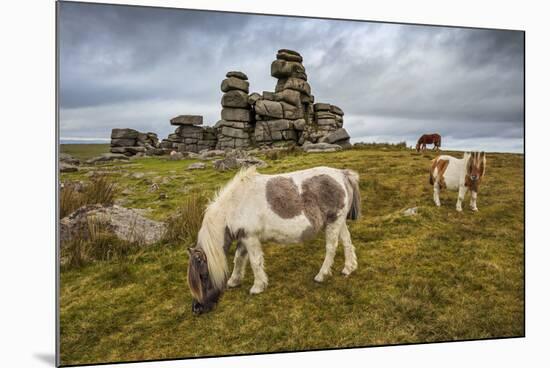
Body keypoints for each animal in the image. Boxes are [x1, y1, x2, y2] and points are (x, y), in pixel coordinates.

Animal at [188, 167, 364, 314]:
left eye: (203, 276)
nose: (197, 309)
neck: (235, 204)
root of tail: (342, 174)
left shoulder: (250, 238)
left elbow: (254, 261)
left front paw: (258, 286)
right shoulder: (243, 238)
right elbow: (239, 259)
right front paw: (234, 280)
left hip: (334, 222)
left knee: (331, 248)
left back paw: (321, 275)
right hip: (339, 222)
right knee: (347, 243)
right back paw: (348, 268)